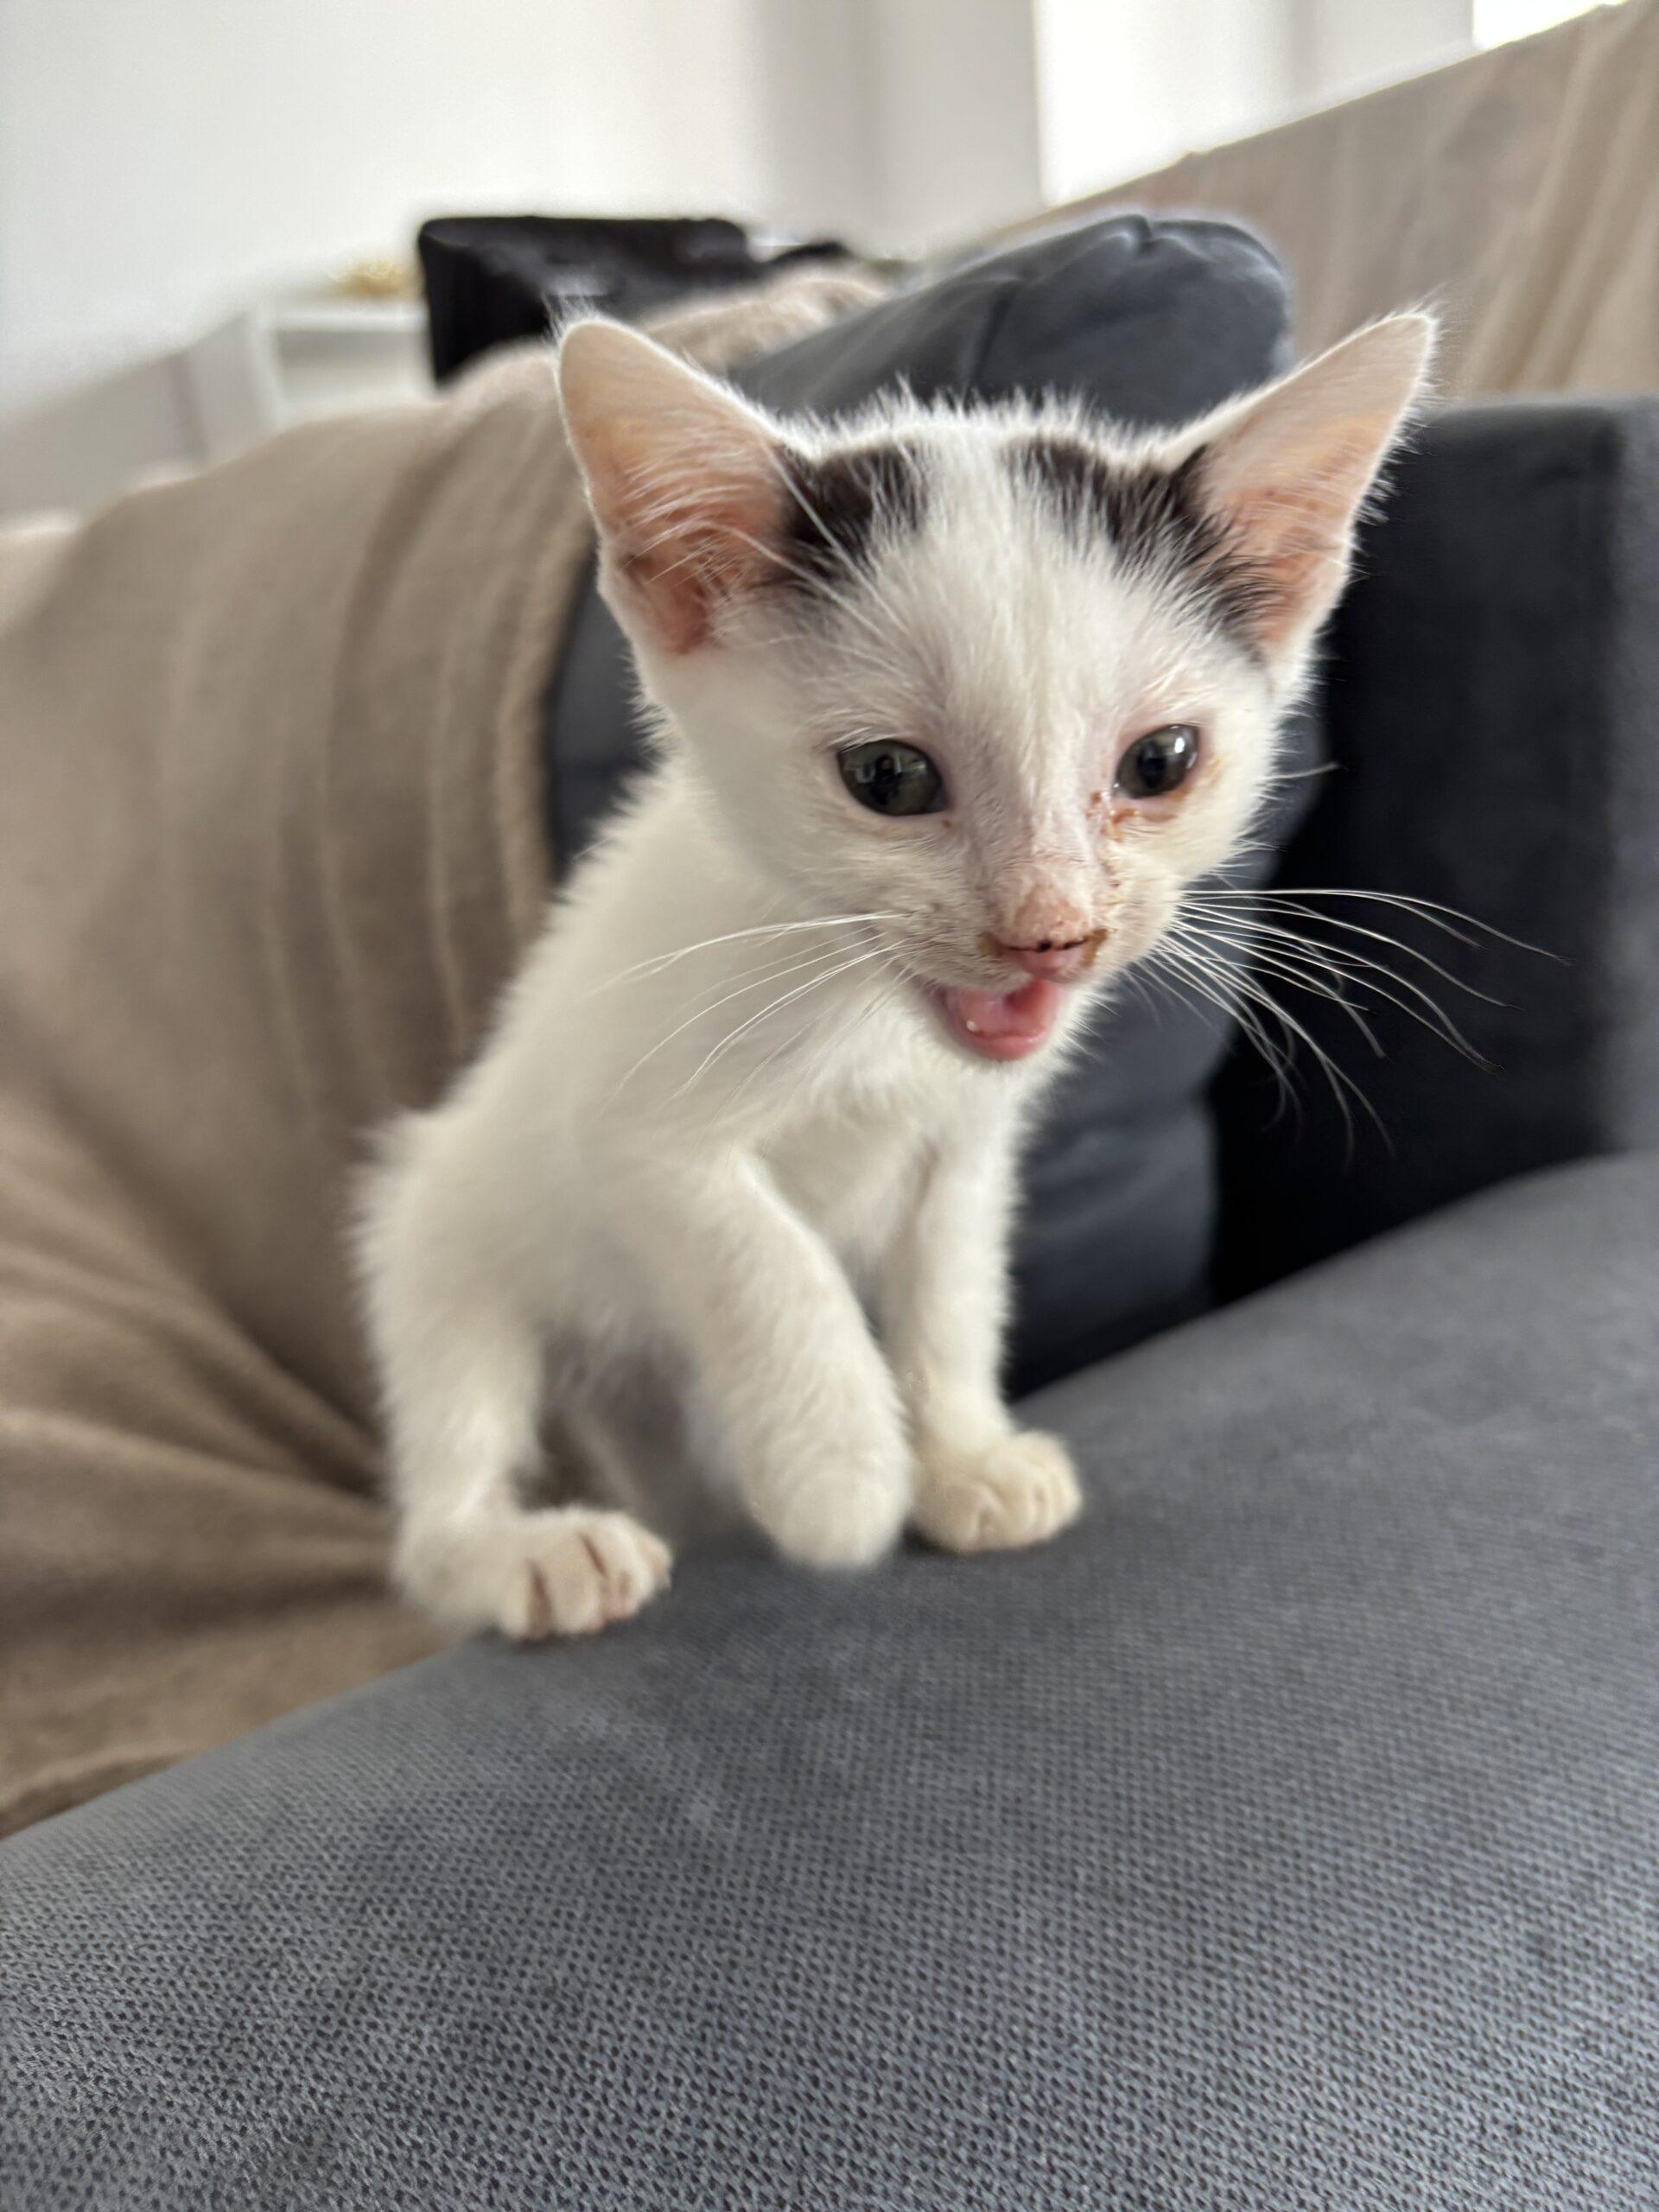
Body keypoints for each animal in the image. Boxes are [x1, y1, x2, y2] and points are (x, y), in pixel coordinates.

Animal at [358, 308, 1431, 1640]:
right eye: (889, 778)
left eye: (1162, 760)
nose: (1051, 930)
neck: (865, 1014)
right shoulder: (627, 1126)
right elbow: (766, 1258)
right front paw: (840, 1476)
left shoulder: (965, 1145)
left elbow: (949, 1290)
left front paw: (962, 1457)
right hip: (443, 1239)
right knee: (446, 1451)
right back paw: (519, 1552)